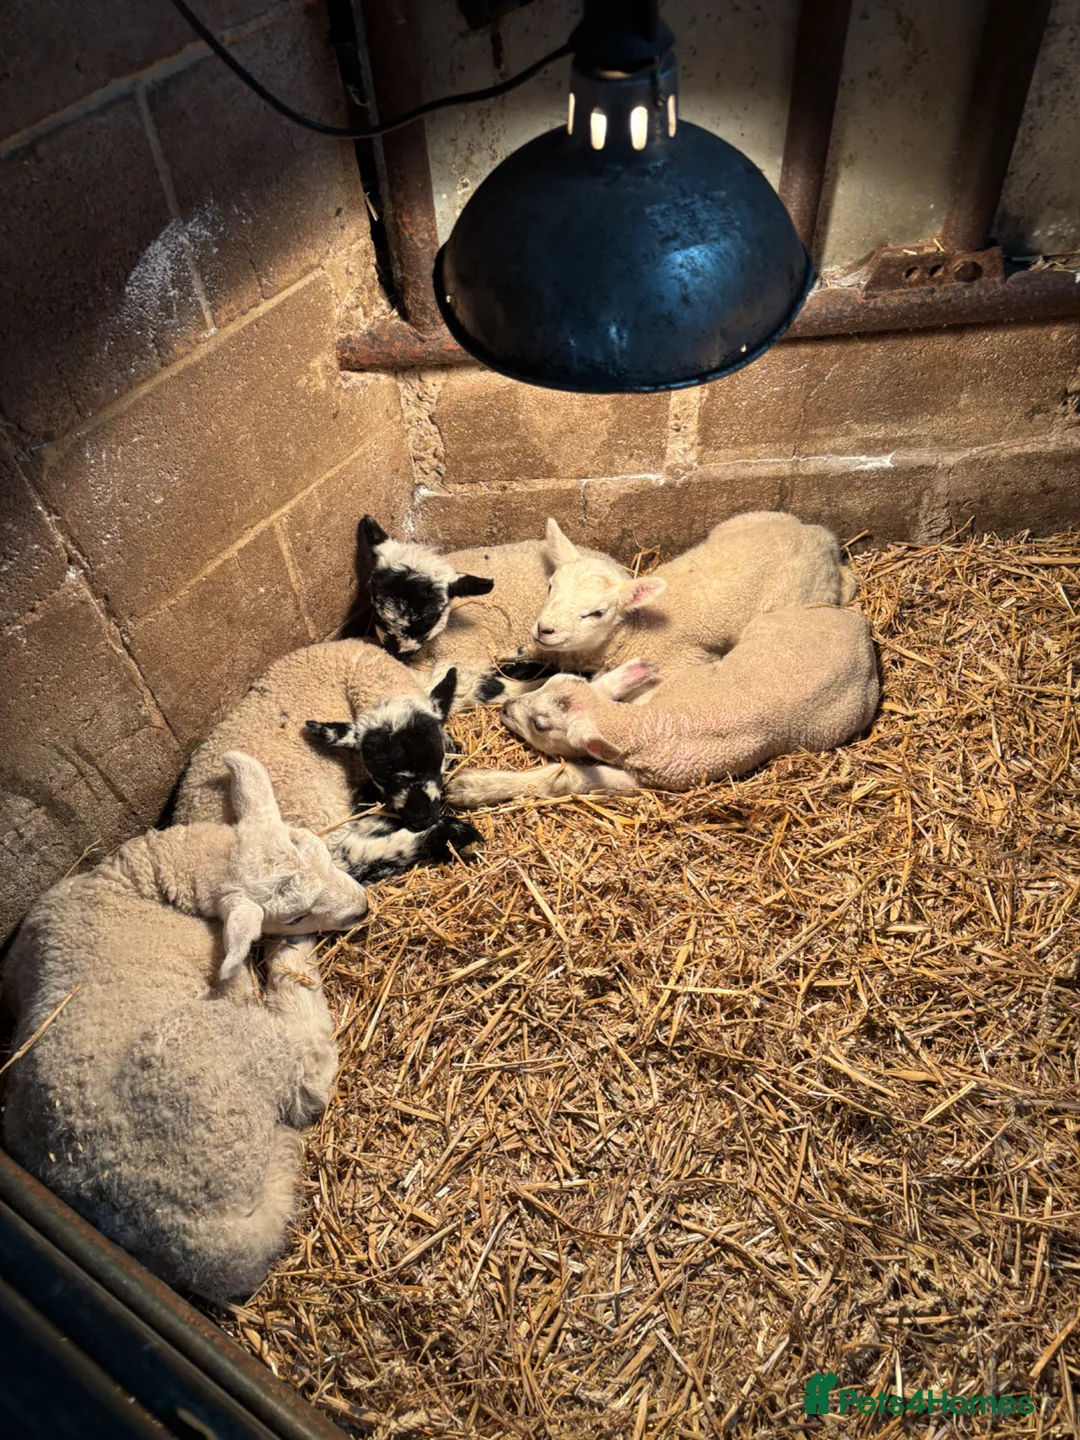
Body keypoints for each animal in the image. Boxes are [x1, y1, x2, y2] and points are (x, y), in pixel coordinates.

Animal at [1, 752, 366, 1301]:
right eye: (294, 914)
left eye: (322, 850)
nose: (363, 908)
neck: (147, 883)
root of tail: (193, 1234)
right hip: (234, 1047)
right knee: (309, 1077)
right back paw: (293, 966)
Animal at [174, 638, 481, 885]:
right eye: (380, 776)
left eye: (436, 761)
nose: (422, 818)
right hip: (312, 812)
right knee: (349, 858)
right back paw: (450, 834)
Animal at [445, 603, 879, 806]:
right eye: (548, 684)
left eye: (540, 724)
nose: (505, 712)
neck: (652, 721)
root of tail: (857, 621)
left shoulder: (650, 779)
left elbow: (567, 778)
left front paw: (471, 787)